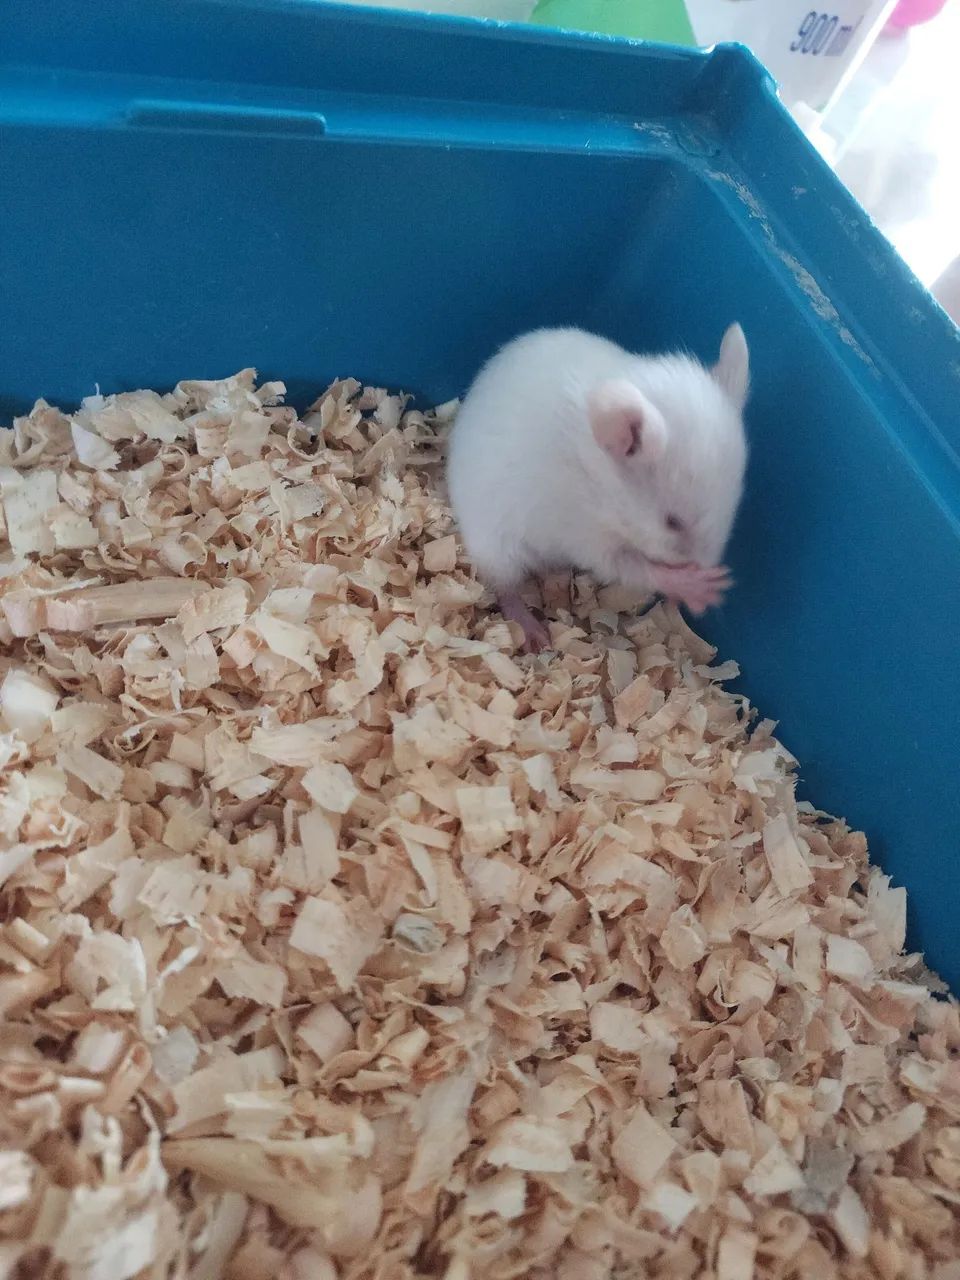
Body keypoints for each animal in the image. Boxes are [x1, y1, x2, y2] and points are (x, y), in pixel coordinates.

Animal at [446, 325, 750, 651]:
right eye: (672, 522)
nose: (702, 609)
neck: (602, 481)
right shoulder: (589, 540)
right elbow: (637, 568)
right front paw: (707, 589)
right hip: (497, 546)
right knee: (504, 587)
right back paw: (535, 636)